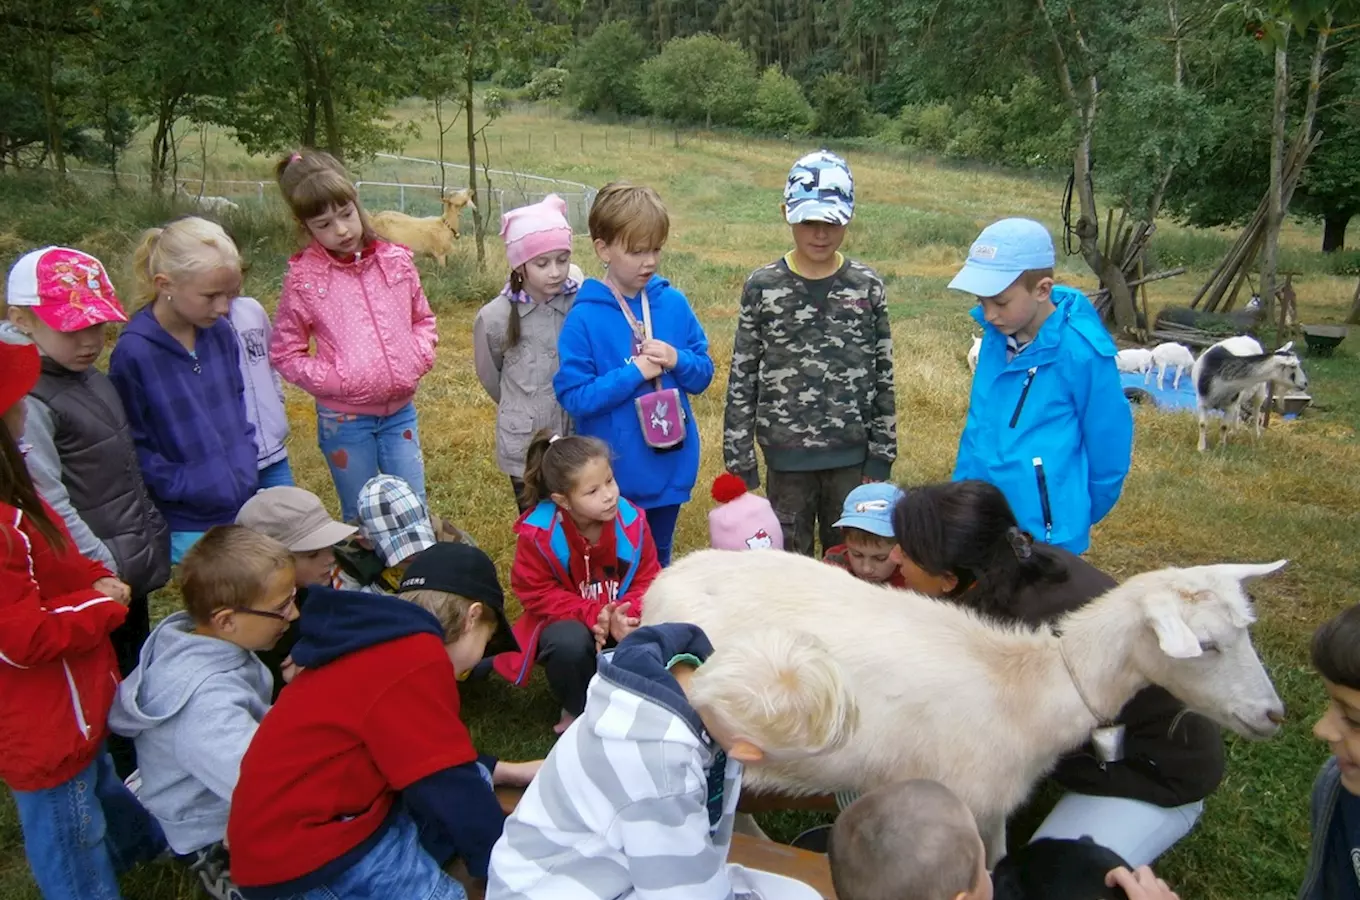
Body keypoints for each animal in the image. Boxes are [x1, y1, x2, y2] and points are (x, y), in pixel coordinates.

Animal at [636, 549, 1283, 870]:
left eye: (1247, 631)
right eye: (1206, 645)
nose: (1273, 715)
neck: (1032, 687)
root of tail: (664, 581)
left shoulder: (992, 807)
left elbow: (997, 861)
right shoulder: (965, 799)